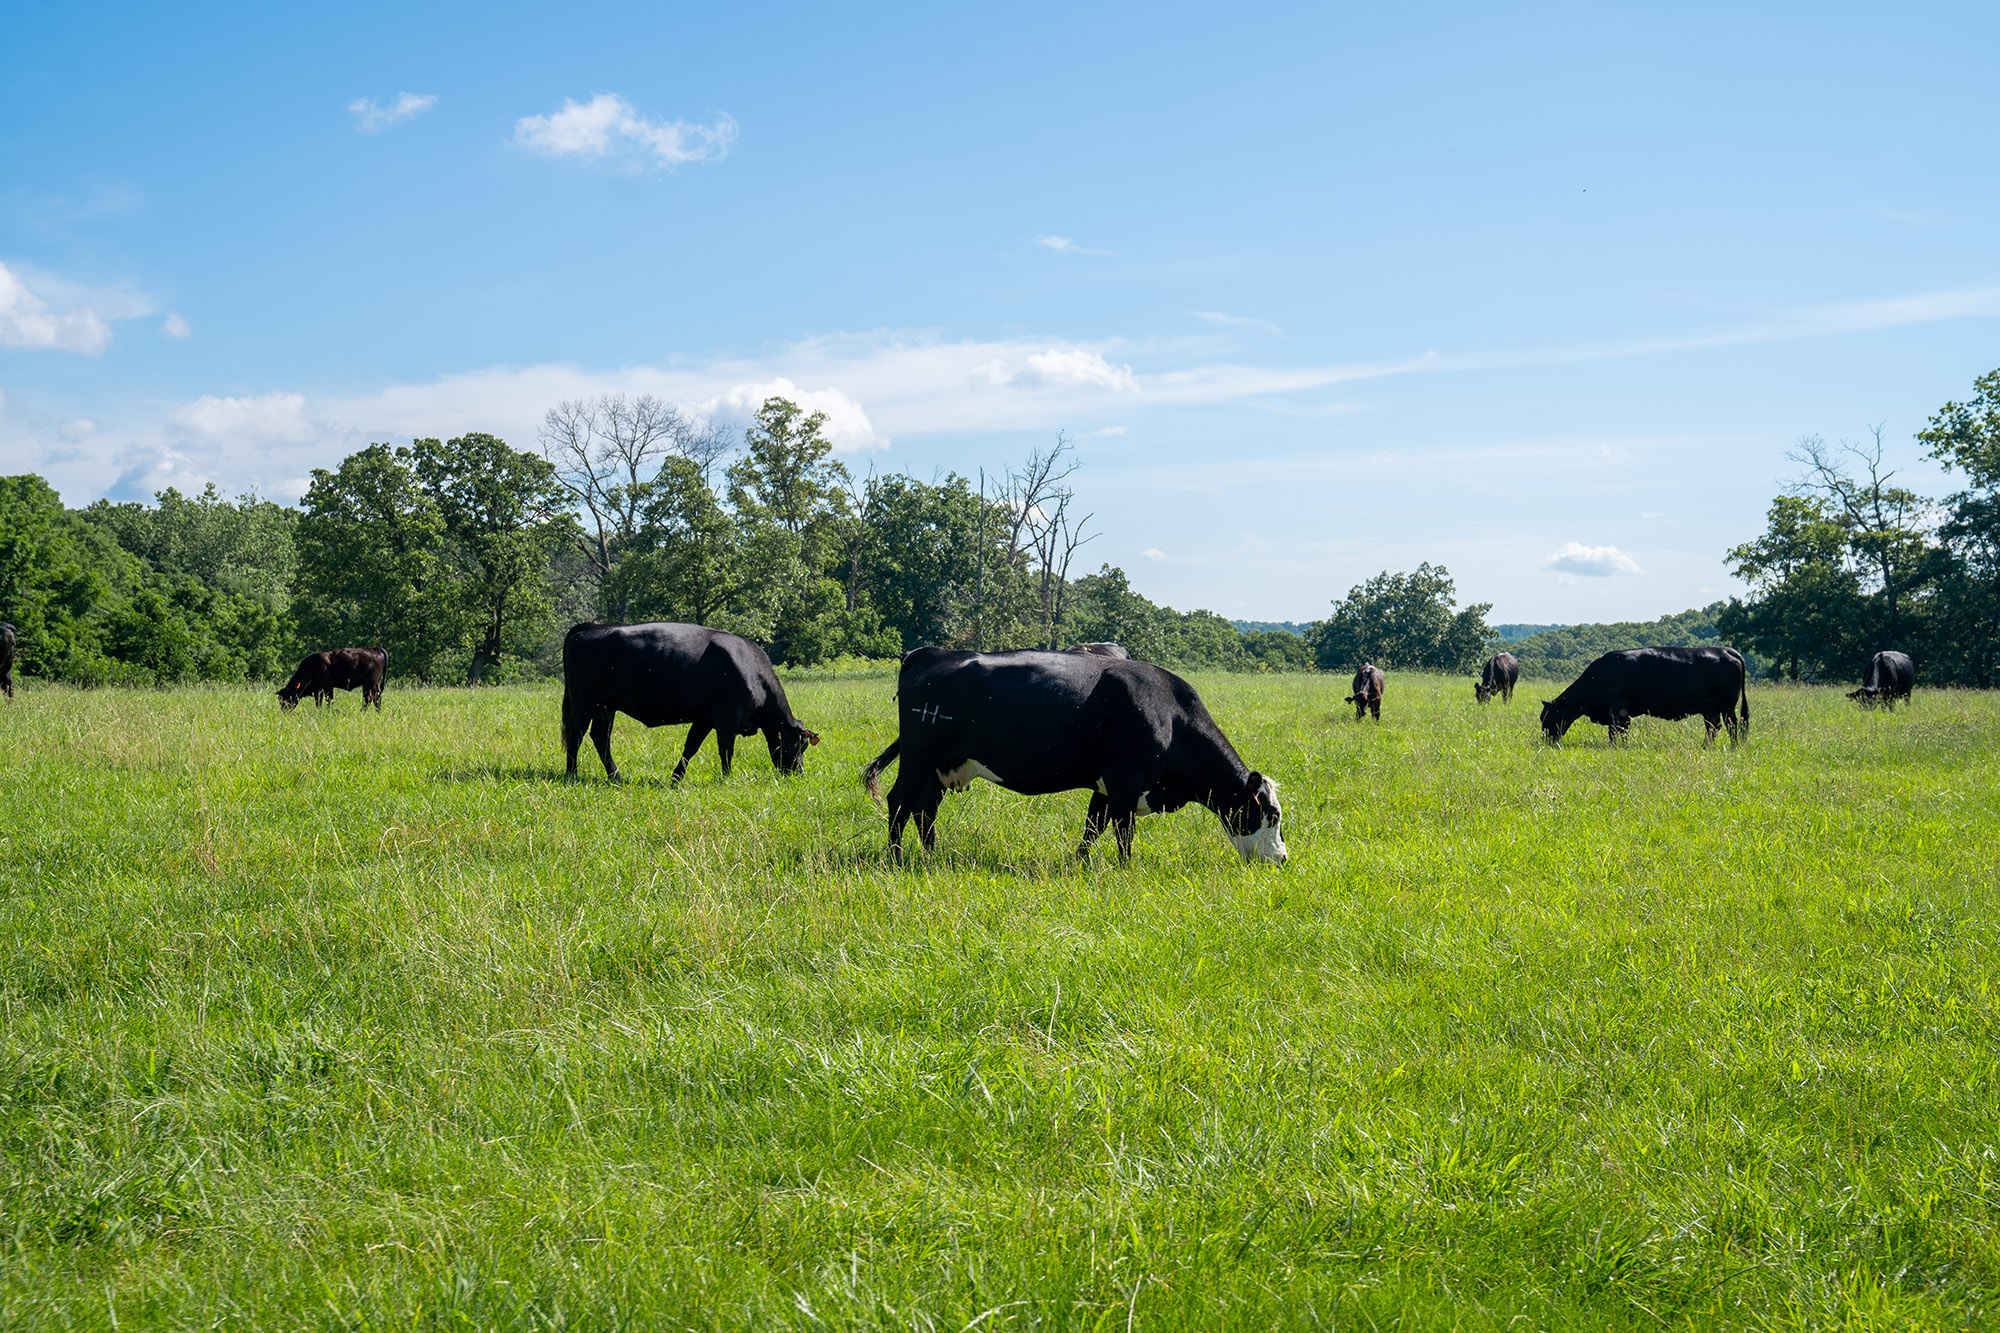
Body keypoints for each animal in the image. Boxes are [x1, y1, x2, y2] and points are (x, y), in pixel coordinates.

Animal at [561, 621, 819, 783]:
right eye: (800, 745)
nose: (798, 772)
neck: (751, 669)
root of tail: (594, 626)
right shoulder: (727, 719)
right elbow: (726, 750)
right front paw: (727, 778)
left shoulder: (705, 719)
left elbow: (691, 747)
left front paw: (676, 778)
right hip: (584, 702)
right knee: (576, 734)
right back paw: (572, 774)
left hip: (605, 707)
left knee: (600, 737)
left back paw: (615, 776)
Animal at [858, 647, 1285, 865]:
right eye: (1272, 815)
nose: (1282, 859)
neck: (1169, 712)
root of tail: (930, 652)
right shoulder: (1125, 778)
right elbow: (1123, 830)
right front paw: (1126, 869)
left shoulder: (1106, 783)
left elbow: (1093, 826)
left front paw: (1080, 863)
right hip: (918, 758)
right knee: (900, 803)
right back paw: (897, 859)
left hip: (939, 767)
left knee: (924, 809)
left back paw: (932, 856)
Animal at [1540, 646, 1748, 746]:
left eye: (1551, 717)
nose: (1545, 739)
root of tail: (1725, 650)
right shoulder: (1624, 713)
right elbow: (1623, 731)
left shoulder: (1617, 708)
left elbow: (1614, 731)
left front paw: (1613, 746)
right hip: (1710, 709)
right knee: (1714, 727)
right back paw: (1705, 746)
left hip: (1727, 707)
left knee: (1731, 726)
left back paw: (1733, 746)